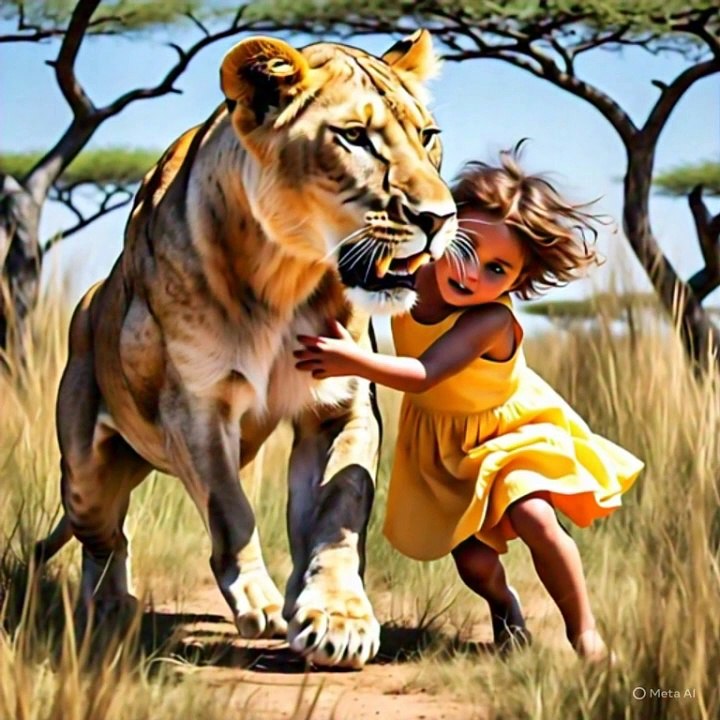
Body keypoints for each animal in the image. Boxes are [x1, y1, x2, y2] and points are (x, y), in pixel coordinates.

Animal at [35, 30, 457, 669]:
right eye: (355, 137)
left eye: (428, 136)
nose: (440, 217)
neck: (285, 274)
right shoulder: (194, 407)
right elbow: (229, 510)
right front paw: (258, 600)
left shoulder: (342, 403)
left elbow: (340, 506)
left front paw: (335, 616)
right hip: (83, 470)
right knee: (103, 534)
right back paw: (105, 605)